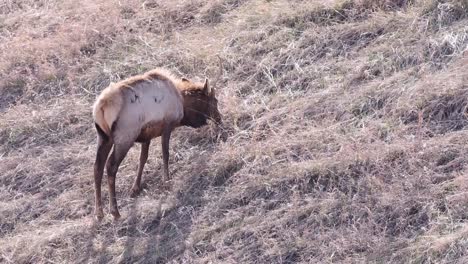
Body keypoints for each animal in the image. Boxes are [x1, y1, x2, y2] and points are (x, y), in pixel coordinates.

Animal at [93, 67, 223, 220]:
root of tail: (101, 107)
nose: (219, 119)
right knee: (111, 166)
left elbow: (143, 159)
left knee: (97, 167)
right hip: (125, 136)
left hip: (104, 138)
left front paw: (135, 187)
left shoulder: (146, 135)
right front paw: (167, 181)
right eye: (215, 100)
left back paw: (99, 212)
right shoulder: (167, 124)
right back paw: (115, 211)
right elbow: (165, 153)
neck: (183, 104)